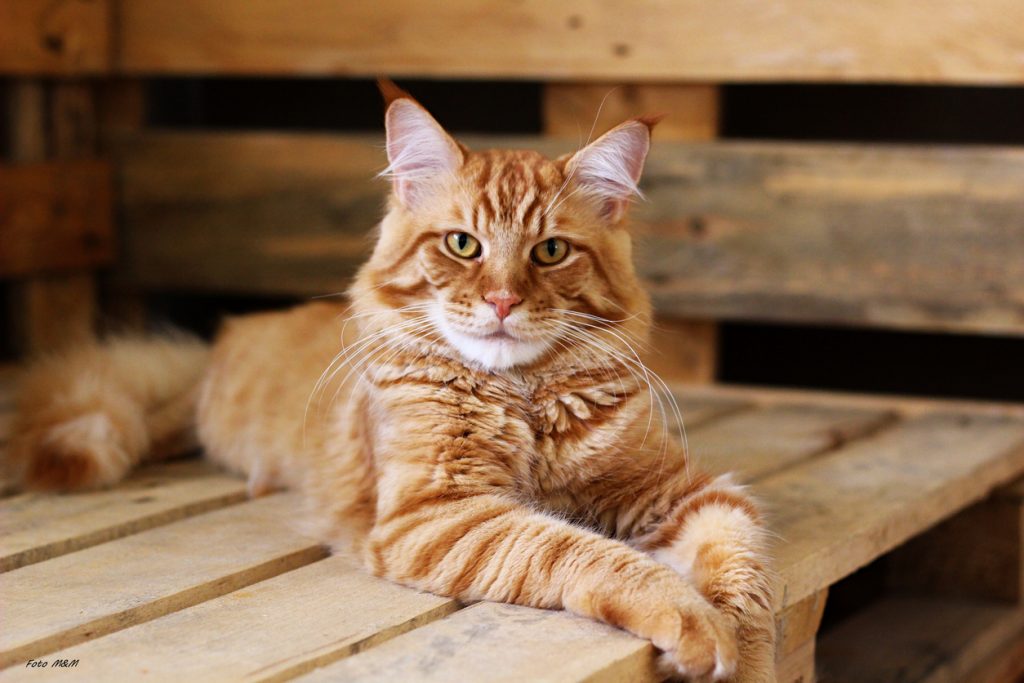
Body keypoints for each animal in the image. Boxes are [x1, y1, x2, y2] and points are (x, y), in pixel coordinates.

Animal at [6, 82, 774, 679]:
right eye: (463, 245)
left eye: (551, 251)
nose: (502, 300)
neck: (524, 395)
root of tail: (226, 339)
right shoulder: (437, 512)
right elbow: (586, 552)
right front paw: (690, 618)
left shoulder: (685, 490)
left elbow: (750, 583)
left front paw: (744, 653)